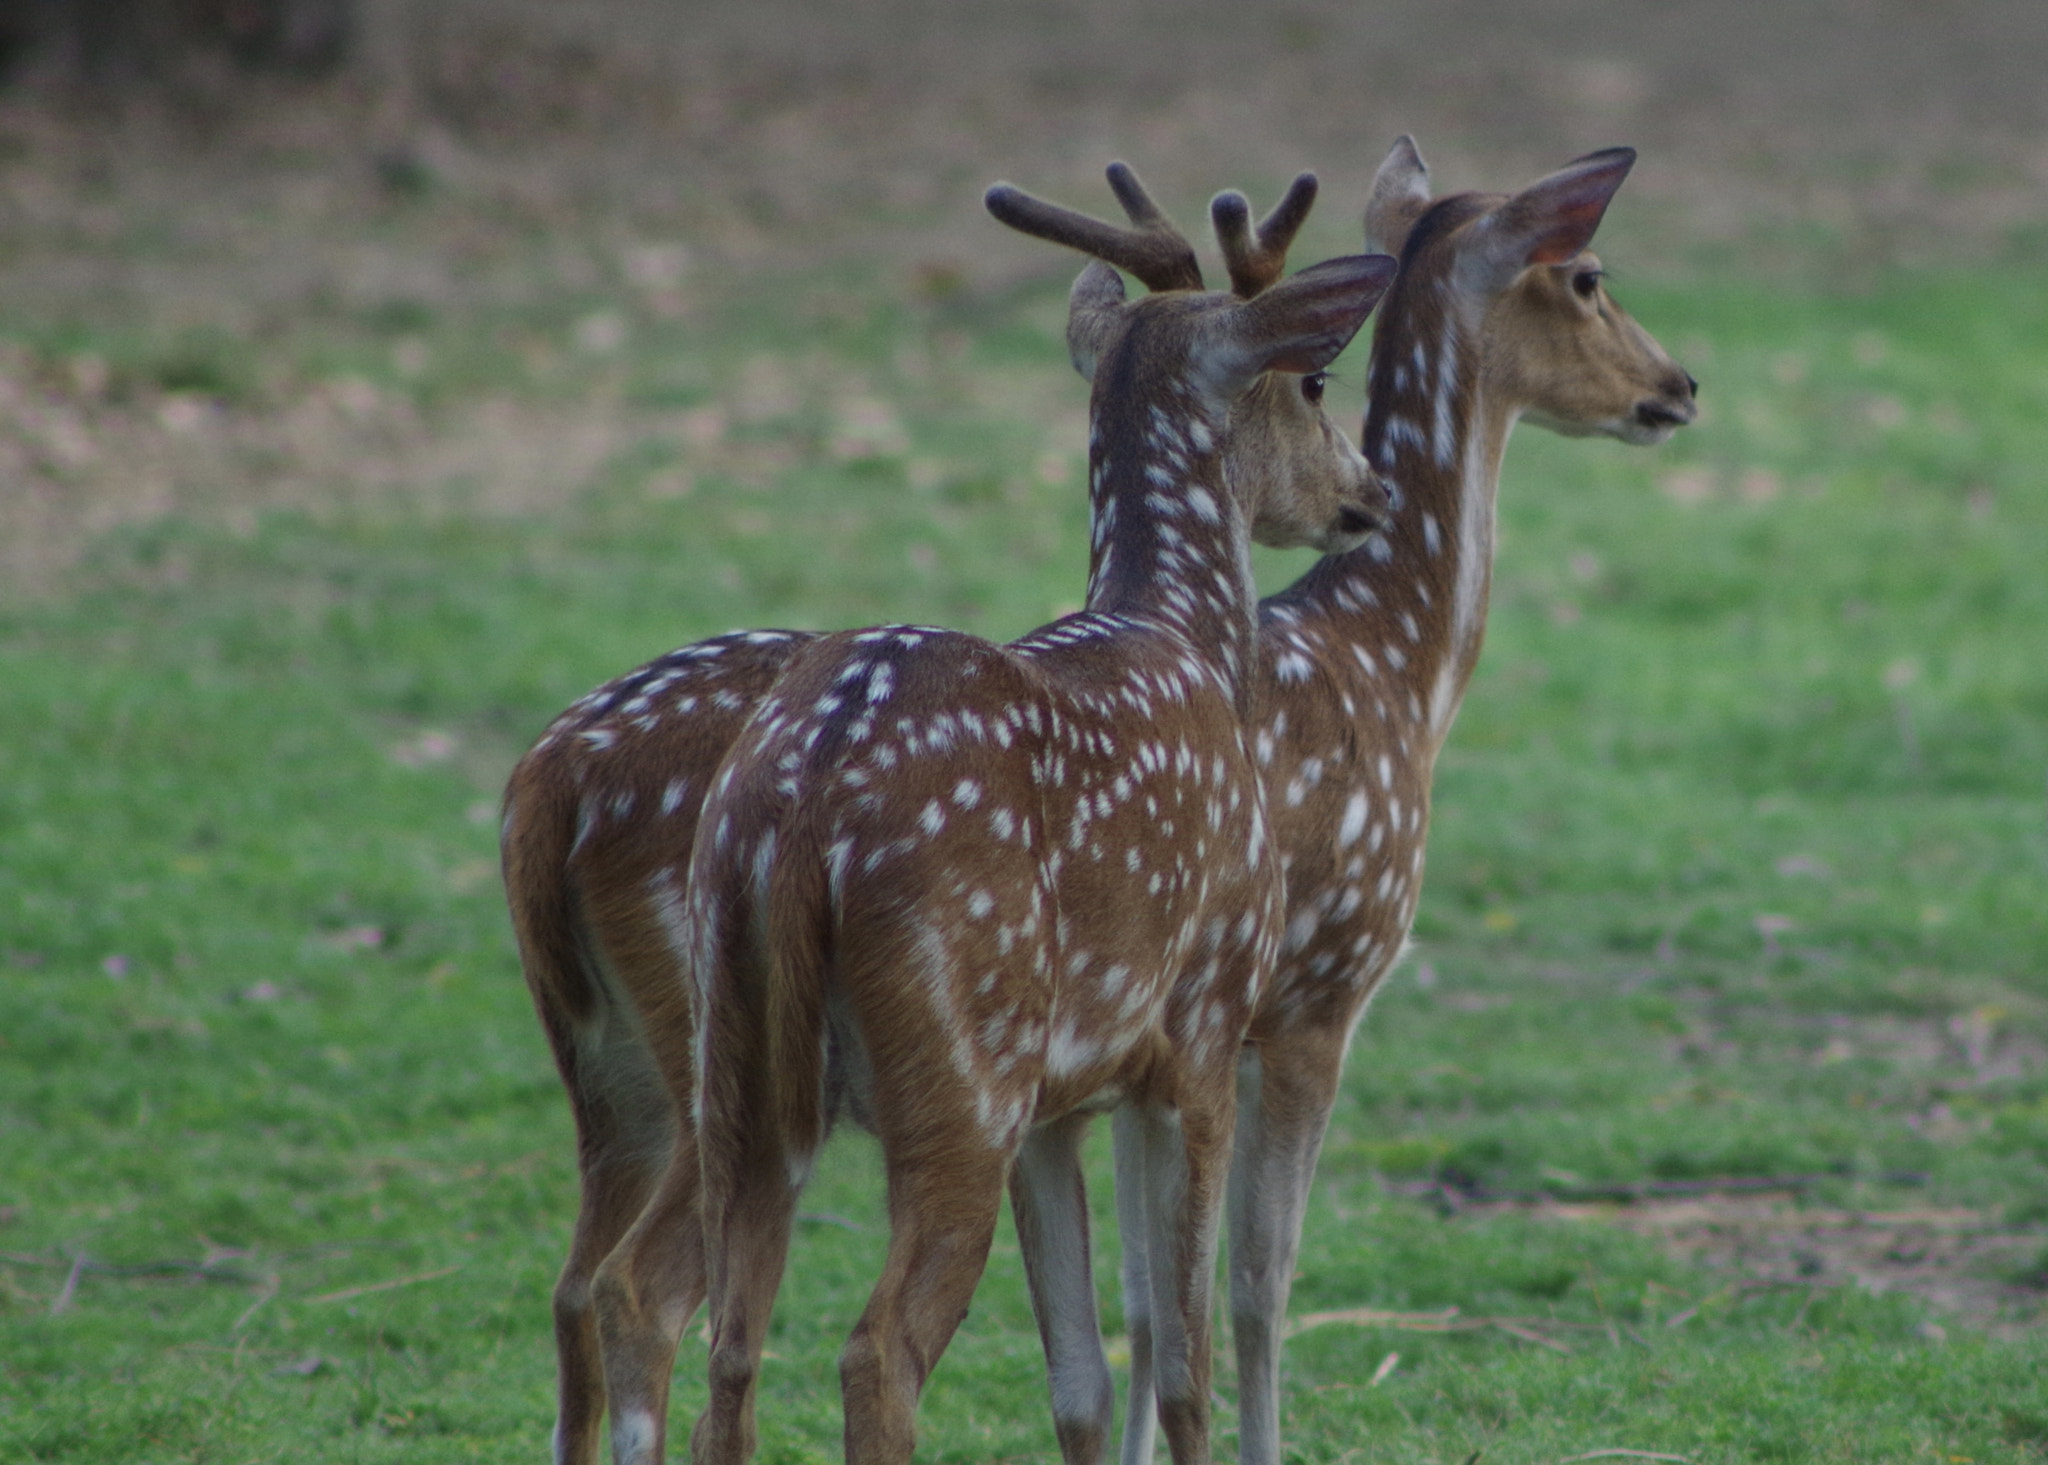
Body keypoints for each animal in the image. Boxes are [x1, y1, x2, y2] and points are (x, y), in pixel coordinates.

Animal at [493, 162, 1392, 1465]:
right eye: (1315, 378)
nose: (1367, 493)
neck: (1184, 636)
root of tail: (797, 808)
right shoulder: (1204, 1022)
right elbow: (1186, 1361)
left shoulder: (1069, 1097)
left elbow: (1088, 1369)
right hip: (960, 1065)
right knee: (870, 1350)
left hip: (726, 1068)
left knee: (683, 1318)